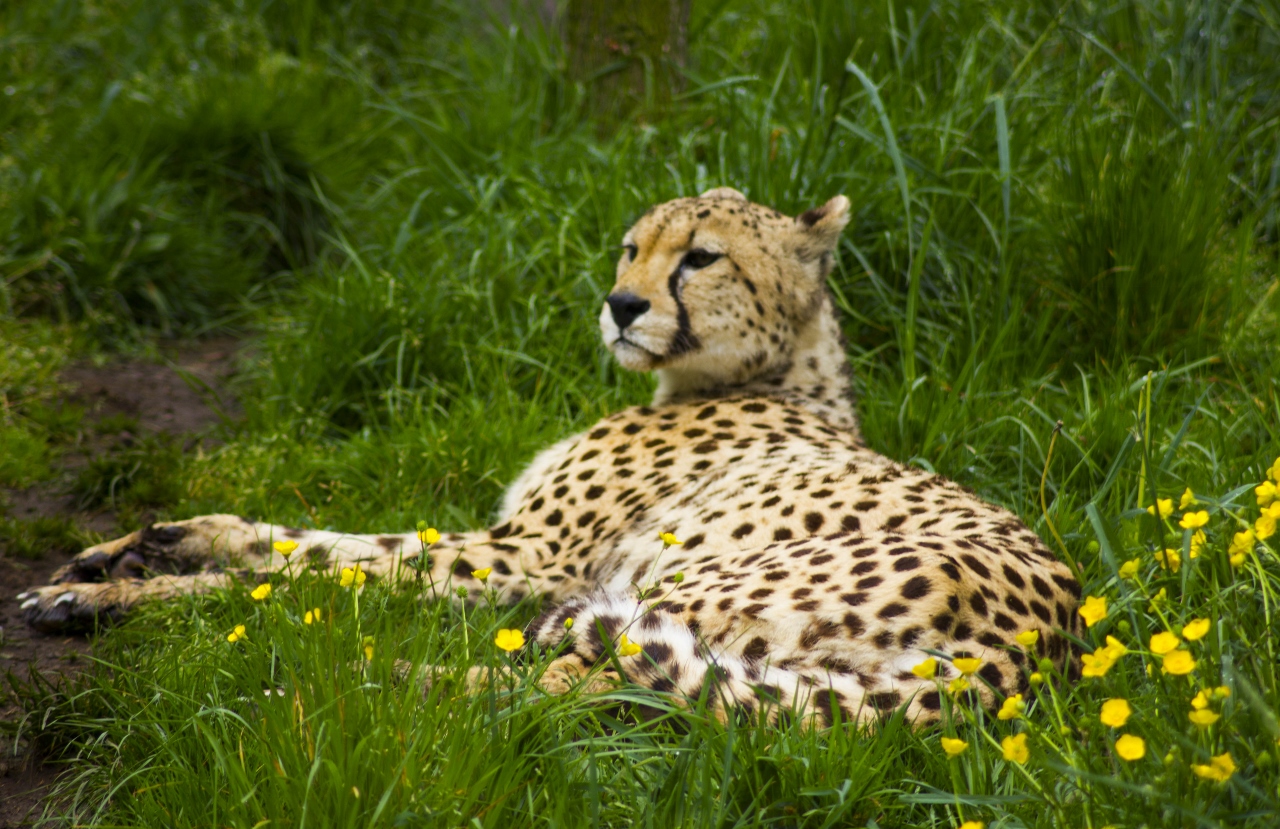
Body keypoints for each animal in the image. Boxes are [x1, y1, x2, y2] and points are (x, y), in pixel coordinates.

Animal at [20, 186, 1080, 726]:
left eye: (701, 256)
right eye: (630, 247)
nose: (621, 305)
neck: (770, 373)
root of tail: (1043, 645)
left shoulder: (527, 557)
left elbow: (312, 564)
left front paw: (116, 595)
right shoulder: (518, 554)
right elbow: (299, 542)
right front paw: (132, 550)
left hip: (684, 588)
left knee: (580, 685)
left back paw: (340, 690)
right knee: (594, 685)